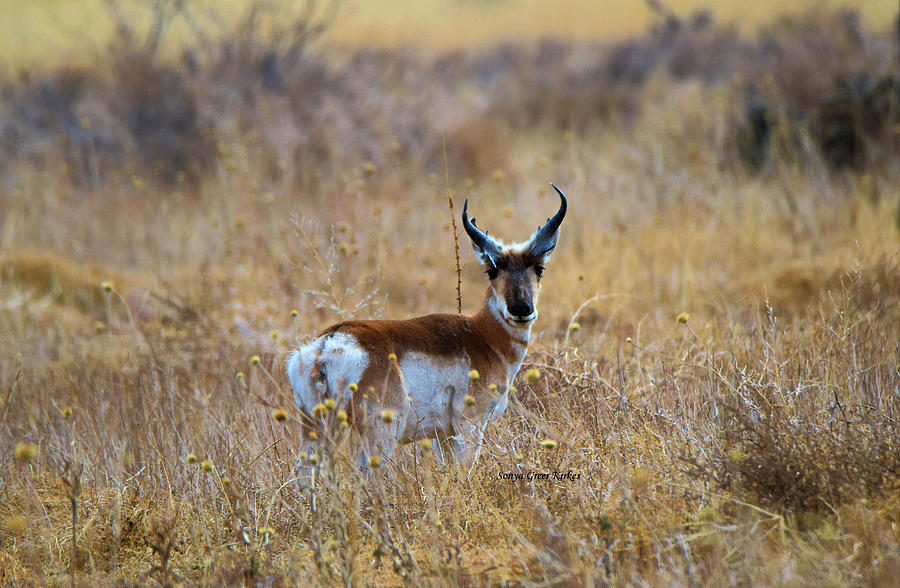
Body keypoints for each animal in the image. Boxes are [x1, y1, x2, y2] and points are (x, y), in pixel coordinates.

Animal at [286, 186, 568, 470]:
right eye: (491, 270)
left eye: (539, 268)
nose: (521, 309)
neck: (482, 336)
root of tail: (329, 344)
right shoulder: (468, 426)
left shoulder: (441, 437)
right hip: (381, 434)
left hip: (316, 430)